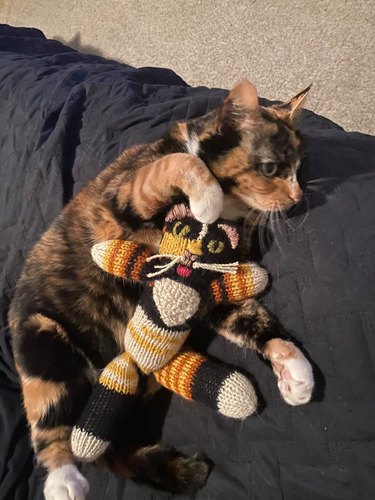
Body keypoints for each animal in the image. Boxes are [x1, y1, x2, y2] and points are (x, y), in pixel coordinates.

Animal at [8, 81, 314, 500]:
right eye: (271, 169)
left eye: (299, 169)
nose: (298, 198)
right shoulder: (122, 200)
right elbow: (181, 165)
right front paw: (206, 198)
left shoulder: (210, 288)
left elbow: (250, 318)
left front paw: (293, 367)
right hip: (42, 341)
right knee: (55, 427)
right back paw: (64, 481)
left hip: (139, 389)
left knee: (108, 451)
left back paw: (180, 471)